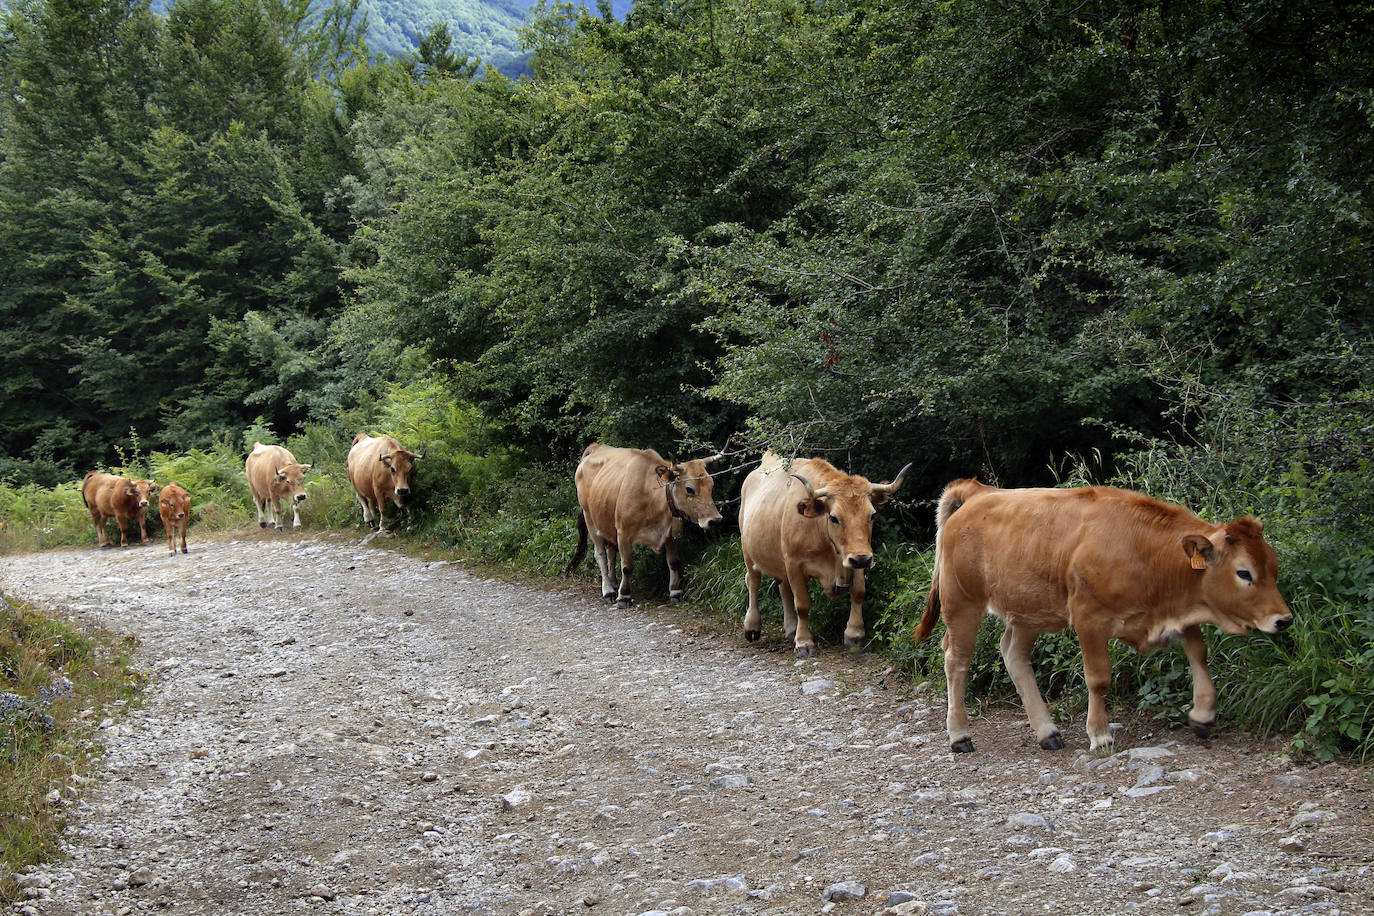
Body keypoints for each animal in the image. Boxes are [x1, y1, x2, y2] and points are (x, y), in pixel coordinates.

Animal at [566, 444, 730, 609]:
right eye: (689, 489)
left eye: (711, 484)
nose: (715, 520)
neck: (650, 495)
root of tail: (597, 447)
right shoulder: (623, 533)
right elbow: (627, 566)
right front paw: (624, 596)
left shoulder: (670, 534)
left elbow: (673, 562)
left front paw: (675, 592)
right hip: (590, 519)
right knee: (600, 555)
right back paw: (609, 591)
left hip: (606, 521)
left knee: (611, 552)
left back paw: (613, 583)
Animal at [917, 480, 1291, 752]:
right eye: (1244, 573)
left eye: (1274, 566)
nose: (1284, 619)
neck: (1144, 551)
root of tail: (981, 492)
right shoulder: (1088, 618)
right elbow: (1098, 678)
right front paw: (1100, 734)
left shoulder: (1178, 612)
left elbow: (1198, 654)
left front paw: (1202, 714)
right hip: (962, 601)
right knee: (956, 660)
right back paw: (960, 734)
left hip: (1029, 609)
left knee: (1013, 655)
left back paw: (1047, 732)